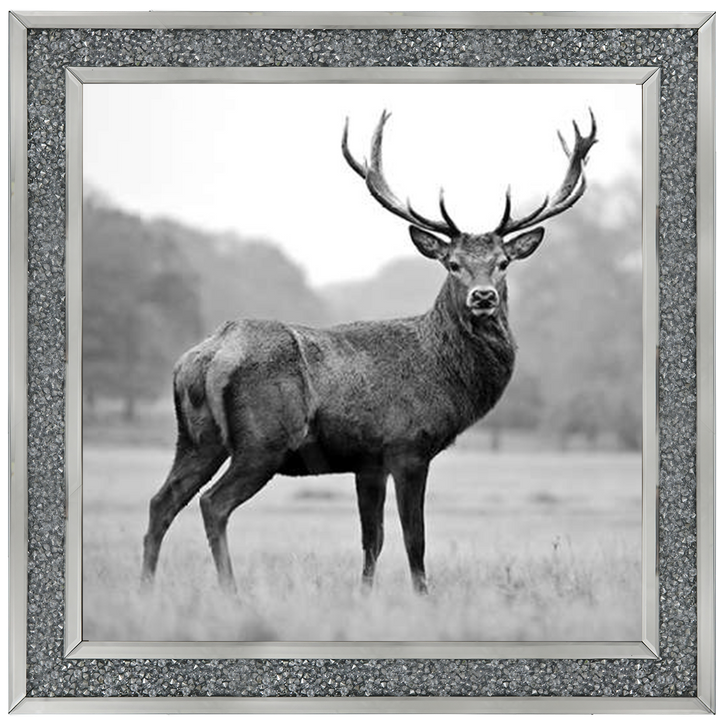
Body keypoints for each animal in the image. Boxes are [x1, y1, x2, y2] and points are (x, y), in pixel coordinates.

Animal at [141, 109, 597, 595]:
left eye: (503, 263)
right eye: (452, 263)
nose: (483, 297)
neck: (444, 375)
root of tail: (206, 356)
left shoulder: (368, 461)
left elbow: (371, 539)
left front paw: (365, 595)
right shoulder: (408, 446)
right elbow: (414, 538)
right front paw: (423, 597)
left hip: (196, 437)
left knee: (161, 501)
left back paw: (146, 587)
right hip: (263, 440)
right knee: (213, 503)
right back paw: (231, 592)